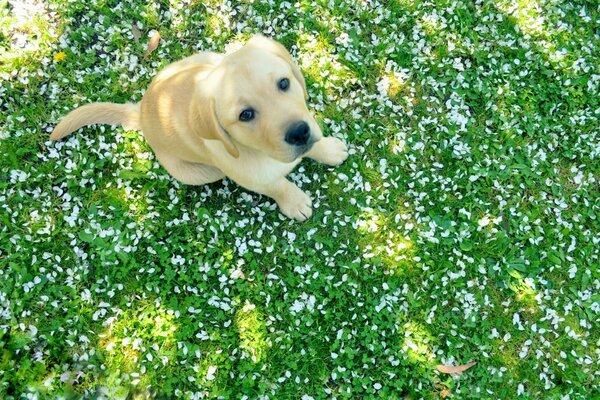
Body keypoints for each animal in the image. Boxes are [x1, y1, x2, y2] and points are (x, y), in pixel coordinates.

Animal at [51, 35, 352, 220]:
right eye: (245, 115)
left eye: (284, 83)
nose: (299, 133)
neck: (259, 151)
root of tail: (141, 110)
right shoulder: (254, 179)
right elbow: (279, 186)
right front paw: (295, 202)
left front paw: (327, 149)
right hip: (199, 172)